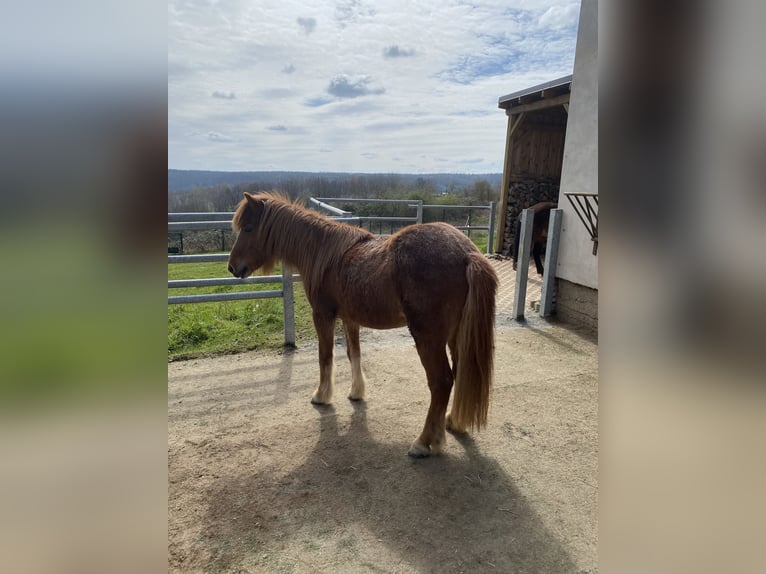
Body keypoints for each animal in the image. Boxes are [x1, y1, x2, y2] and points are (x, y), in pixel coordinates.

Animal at [228, 192, 498, 458]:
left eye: (249, 228)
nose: (232, 267)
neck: (324, 254)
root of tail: (466, 253)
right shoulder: (350, 319)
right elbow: (353, 354)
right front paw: (356, 392)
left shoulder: (323, 315)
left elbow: (325, 356)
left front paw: (321, 396)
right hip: (456, 335)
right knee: (459, 372)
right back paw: (450, 424)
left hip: (428, 337)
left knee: (441, 381)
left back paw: (423, 443)